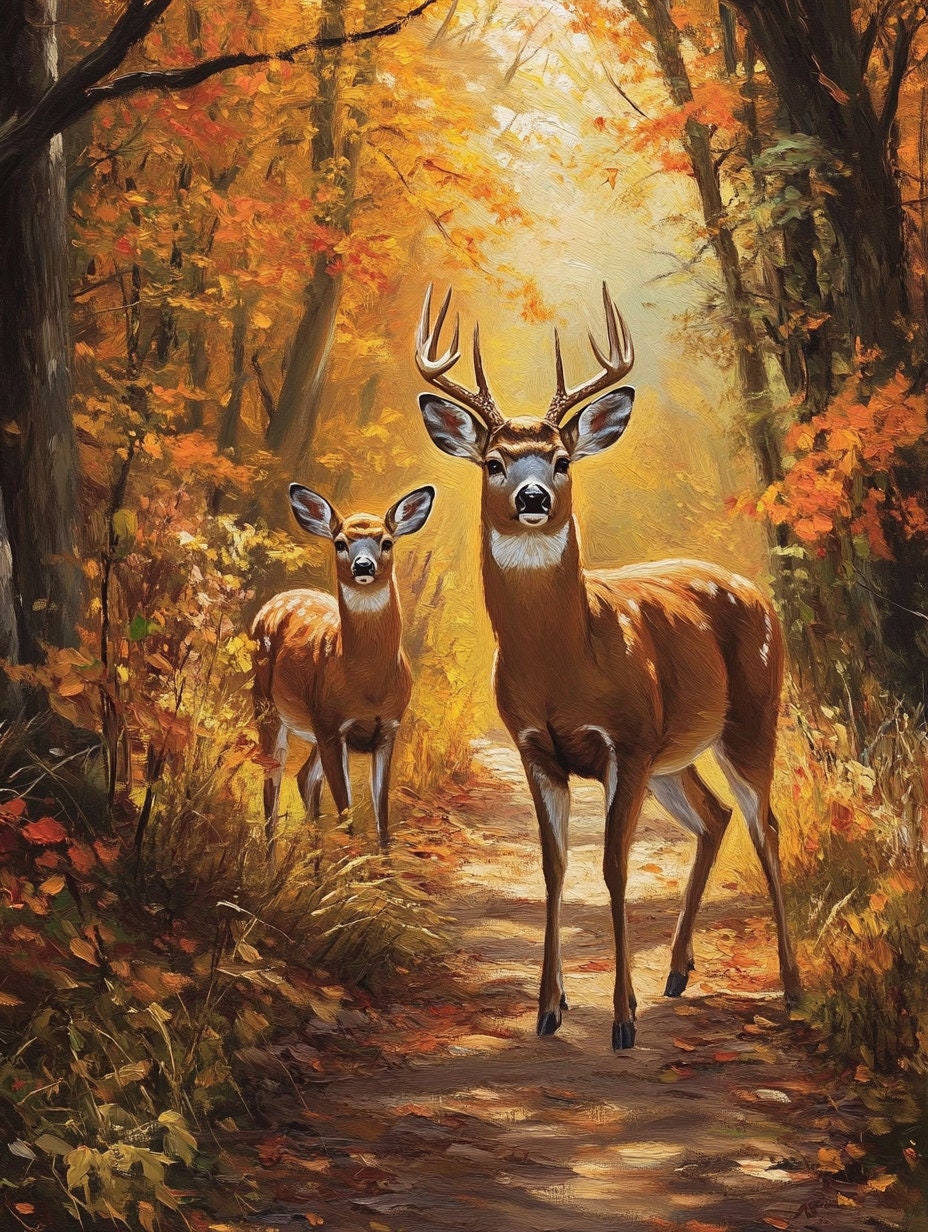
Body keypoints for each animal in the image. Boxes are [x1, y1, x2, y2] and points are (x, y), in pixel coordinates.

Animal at [252, 483, 435, 857]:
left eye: (386, 542)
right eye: (340, 543)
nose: (363, 564)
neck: (369, 685)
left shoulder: (388, 728)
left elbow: (381, 818)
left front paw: (381, 867)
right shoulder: (332, 726)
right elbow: (347, 816)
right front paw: (354, 868)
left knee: (304, 777)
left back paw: (314, 860)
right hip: (268, 706)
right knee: (272, 784)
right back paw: (271, 861)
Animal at [414, 284, 800, 1051]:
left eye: (562, 459)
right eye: (494, 462)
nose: (533, 499)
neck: (564, 662)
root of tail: (754, 593)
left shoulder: (626, 741)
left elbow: (613, 868)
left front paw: (621, 1019)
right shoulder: (536, 747)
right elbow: (555, 865)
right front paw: (548, 1009)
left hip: (749, 718)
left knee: (764, 825)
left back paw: (794, 984)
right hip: (675, 755)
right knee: (714, 817)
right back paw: (678, 972)